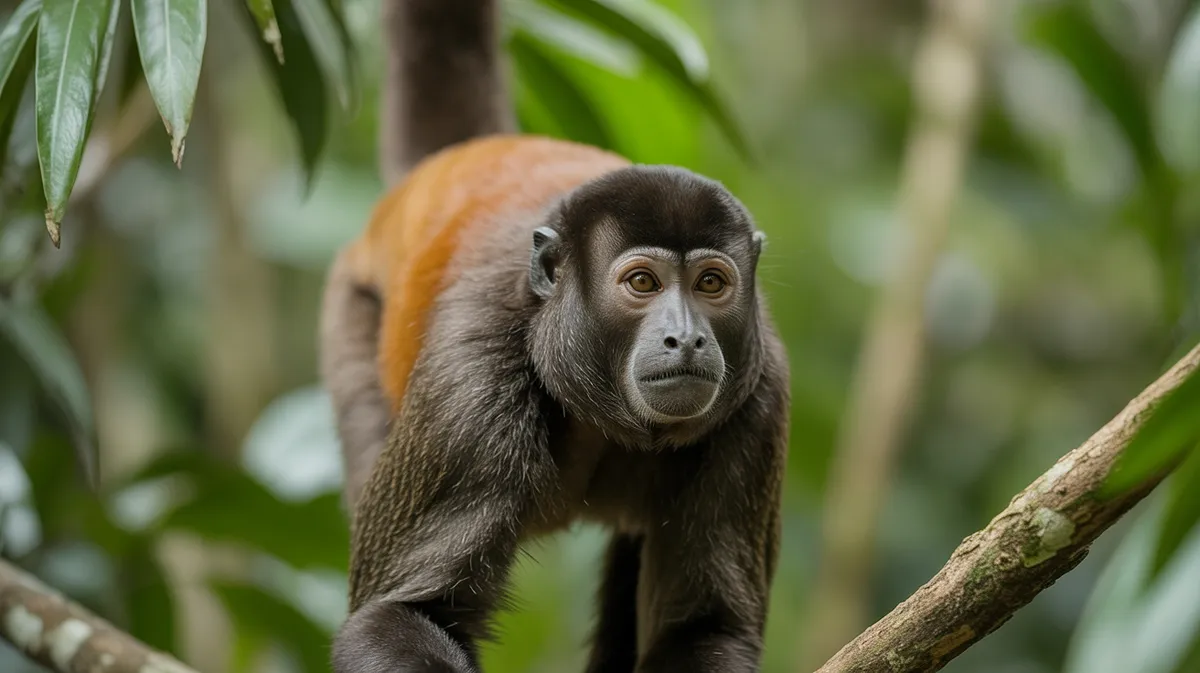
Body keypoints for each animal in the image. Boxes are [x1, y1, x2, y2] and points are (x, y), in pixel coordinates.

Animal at [318, 1, 790, 672]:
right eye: (642, 282)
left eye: (711, 284)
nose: (688, 338)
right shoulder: (471, 374)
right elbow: (396, 616)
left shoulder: (761, 393)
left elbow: (707, 629)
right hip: (351, 308)